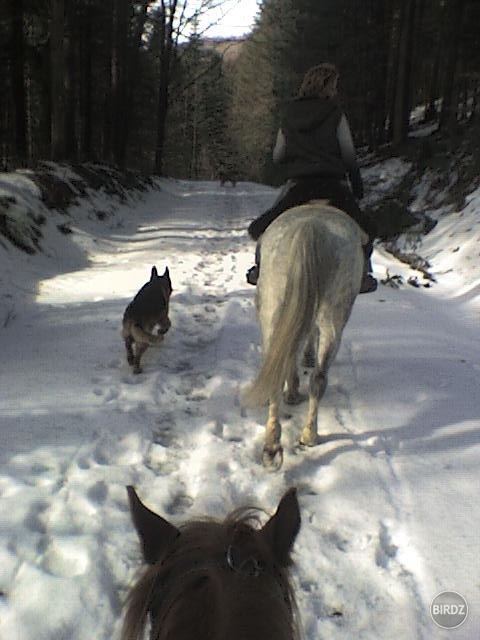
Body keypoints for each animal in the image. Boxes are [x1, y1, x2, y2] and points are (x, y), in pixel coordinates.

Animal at [242, 201, 366, 470]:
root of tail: (312, 226)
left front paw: (293, 391)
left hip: (273, 312)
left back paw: (275, 446)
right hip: (332, 316)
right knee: (318, 378)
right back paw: (307, 435)